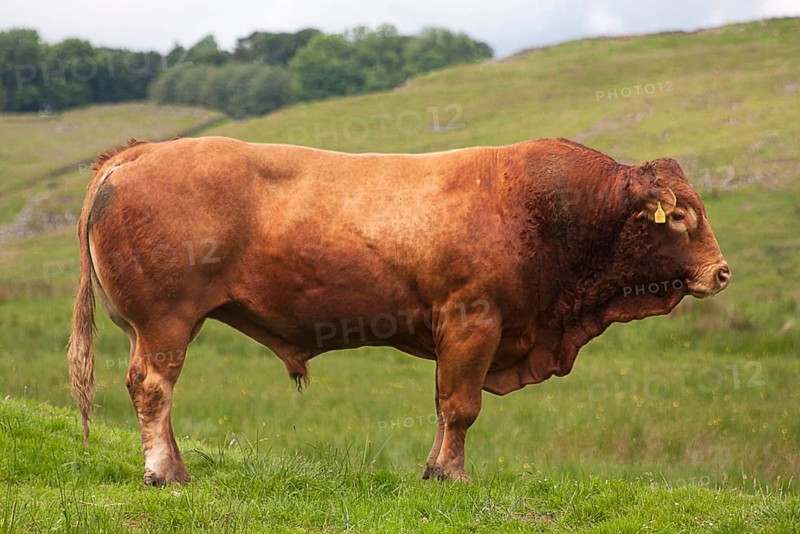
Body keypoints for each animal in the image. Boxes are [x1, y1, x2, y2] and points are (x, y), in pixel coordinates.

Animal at [68, 136, 730, 485]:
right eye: (681, 217)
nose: (722, 272)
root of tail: (137, 154)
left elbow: (443, 408)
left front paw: (435, 470)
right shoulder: (473, 320)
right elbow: (461, 408)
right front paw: (454, 476)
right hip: (166, 323)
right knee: (152, 388)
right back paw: (166, 472)